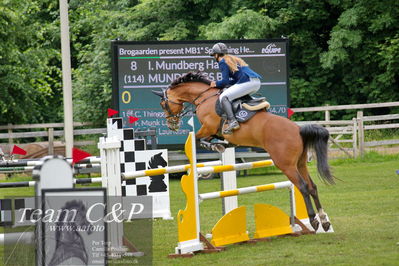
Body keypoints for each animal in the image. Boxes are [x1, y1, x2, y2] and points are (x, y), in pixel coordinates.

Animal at [153, 71, 334, 232]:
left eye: (163, 104)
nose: (172, 125)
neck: (205, 97)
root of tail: (298, 129)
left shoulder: (208, 127)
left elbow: (198, 138)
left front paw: (216, 146)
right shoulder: (214, 131)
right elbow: (210, 139)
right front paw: (221, 145)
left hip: (286, 165)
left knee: (303, 187)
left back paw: (313, 220)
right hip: (300, 163)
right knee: (312, 187)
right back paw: (324, 221)